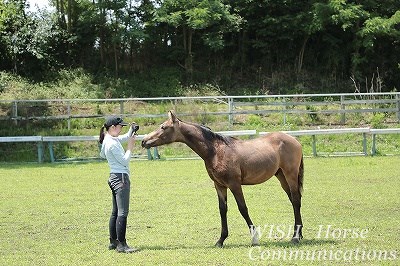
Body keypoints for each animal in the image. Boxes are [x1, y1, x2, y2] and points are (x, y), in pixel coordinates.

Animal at [141, 110, 304, 247]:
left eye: (163, 127)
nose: (144, 141)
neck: (216, 151)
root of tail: (294, 140)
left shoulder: (234, 184)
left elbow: (243, 208)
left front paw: (255, 239)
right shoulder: (219, 185)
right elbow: (222, 209)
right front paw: (220, 240)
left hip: (290, 175)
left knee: (296, 200)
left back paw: (295, 237)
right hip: (281, 176)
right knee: (294, 200)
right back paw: (299, 234)